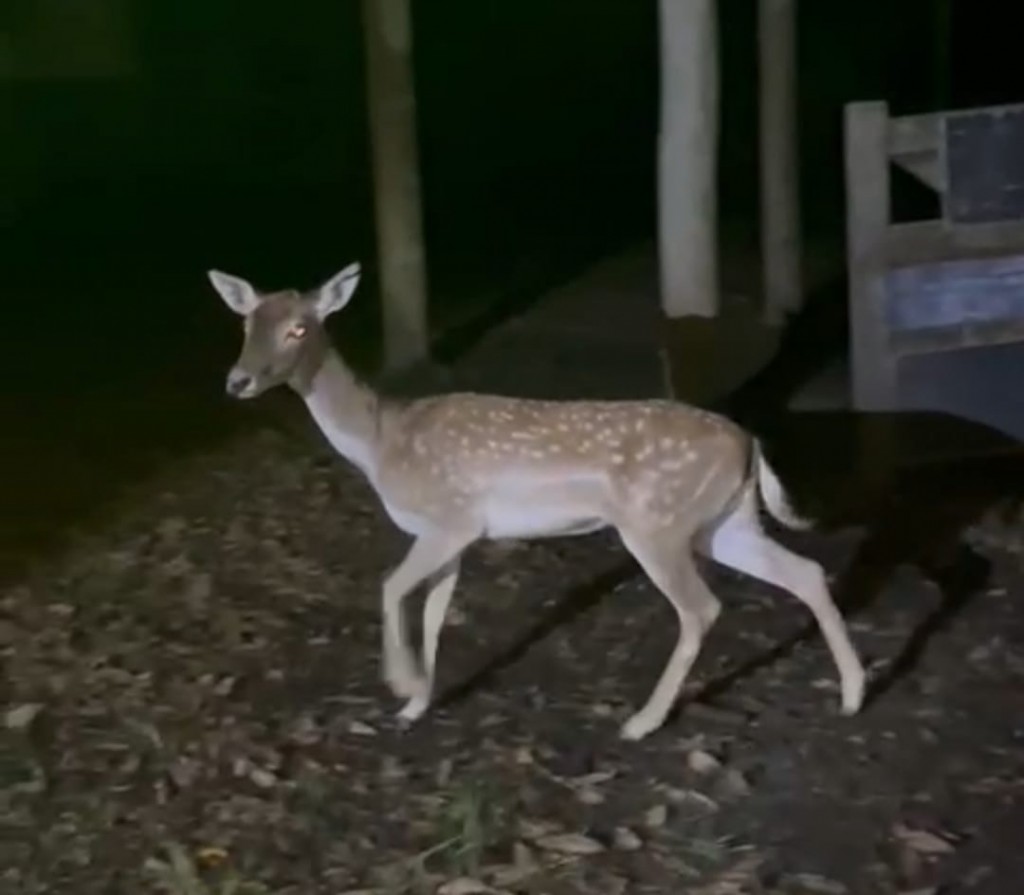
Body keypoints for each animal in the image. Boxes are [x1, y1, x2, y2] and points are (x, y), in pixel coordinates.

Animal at [207, 260, 864, 741]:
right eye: (245, 325)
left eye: (299, 328)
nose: (237, 382)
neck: (382, 441)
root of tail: (750, 441)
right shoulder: (455, 534)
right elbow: (434, 611)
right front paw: (417, 704)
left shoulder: (450, 518)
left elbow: (391, 587)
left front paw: (399, 685)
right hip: (724, 522)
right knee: (805, 571)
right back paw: (854, 695)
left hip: (657, 522)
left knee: (702, 607)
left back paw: (641, 723)